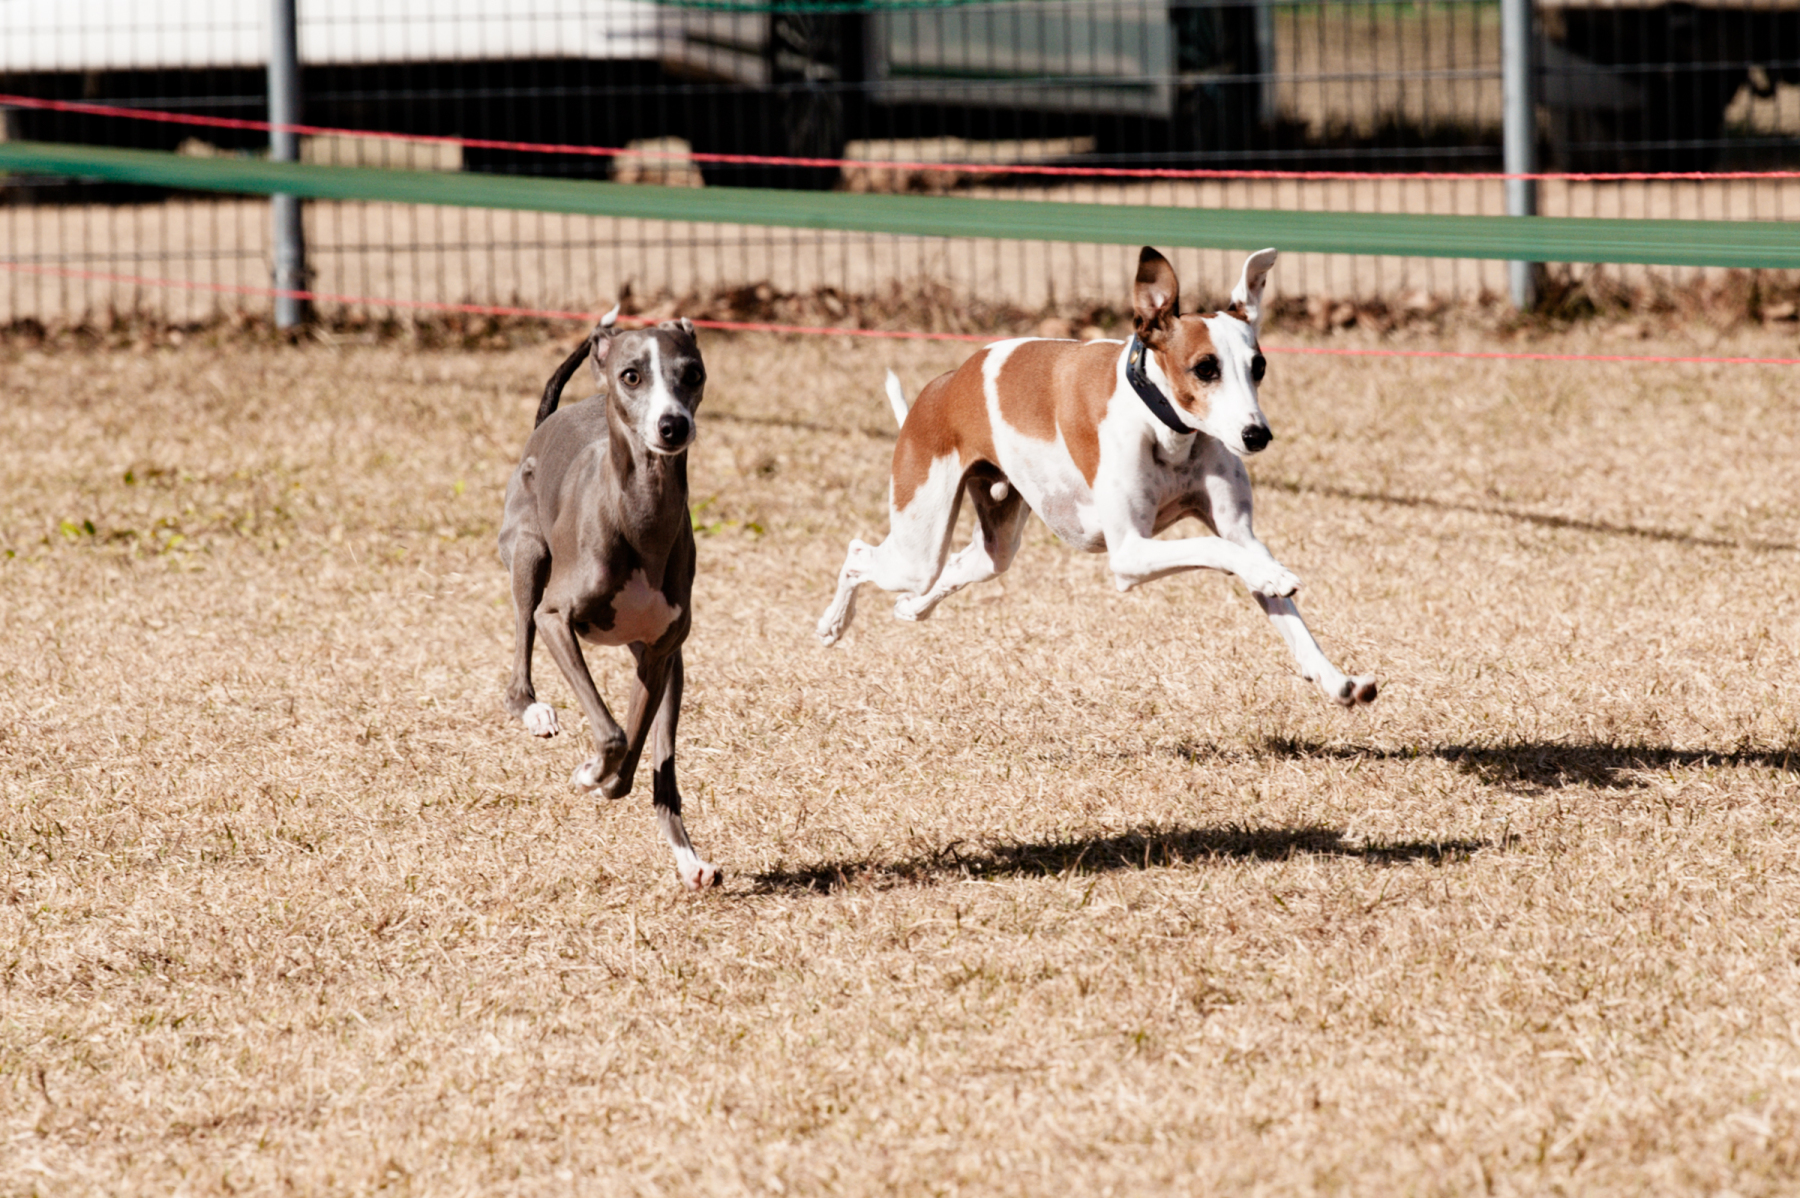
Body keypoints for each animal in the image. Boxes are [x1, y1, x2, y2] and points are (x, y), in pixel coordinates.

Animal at [498, 306, 720, 889]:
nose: (672, 426)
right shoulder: (556, 617)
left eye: (692, 373)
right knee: (519, 658)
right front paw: (588, 772)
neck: (640, 514)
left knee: (664, 768)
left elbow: (634, 749)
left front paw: (604, 780)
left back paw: (689, 860)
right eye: (631, 375)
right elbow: (615, 736)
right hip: (528, 556)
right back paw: (534, 711)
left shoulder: (660, 653)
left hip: (670, 663)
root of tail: (549, 419)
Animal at [817, 246, 1377, 709]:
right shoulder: (1130, 552)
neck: (1166, 427)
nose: (1256, 434)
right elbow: (1220, 552)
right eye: (1205, 368)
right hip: (918, 543)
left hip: (992, 545)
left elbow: (1277, 600)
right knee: (859, 553)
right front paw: (1274, 575)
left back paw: (911, 610)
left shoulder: (1241, 532)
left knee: (953, 570)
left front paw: (1336, 680)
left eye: (1258, 366)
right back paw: (832, 625)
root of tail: (941, 386)